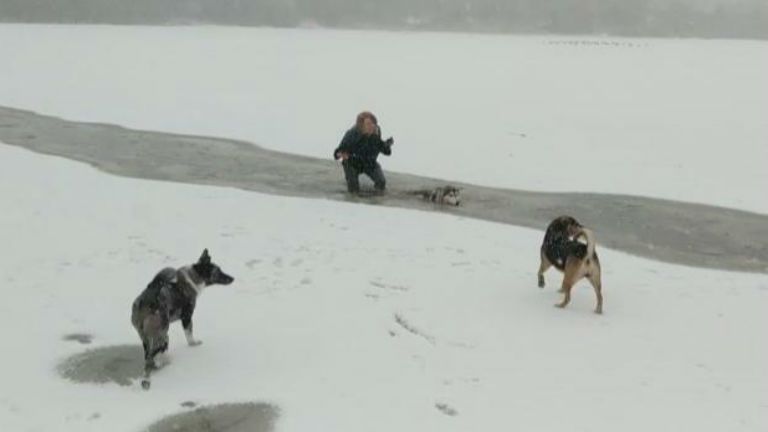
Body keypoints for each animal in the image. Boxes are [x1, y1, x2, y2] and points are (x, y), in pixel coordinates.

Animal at [131, 249, 234, 389]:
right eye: (217, 271)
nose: (233, 278)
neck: (193, 277)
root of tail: (144, 303)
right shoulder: (187, 316)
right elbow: (189, 334)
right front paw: (194, 344)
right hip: (162, 334)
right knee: (153, 356)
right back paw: (149, 377)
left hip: (145, 336)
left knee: (148, 355)